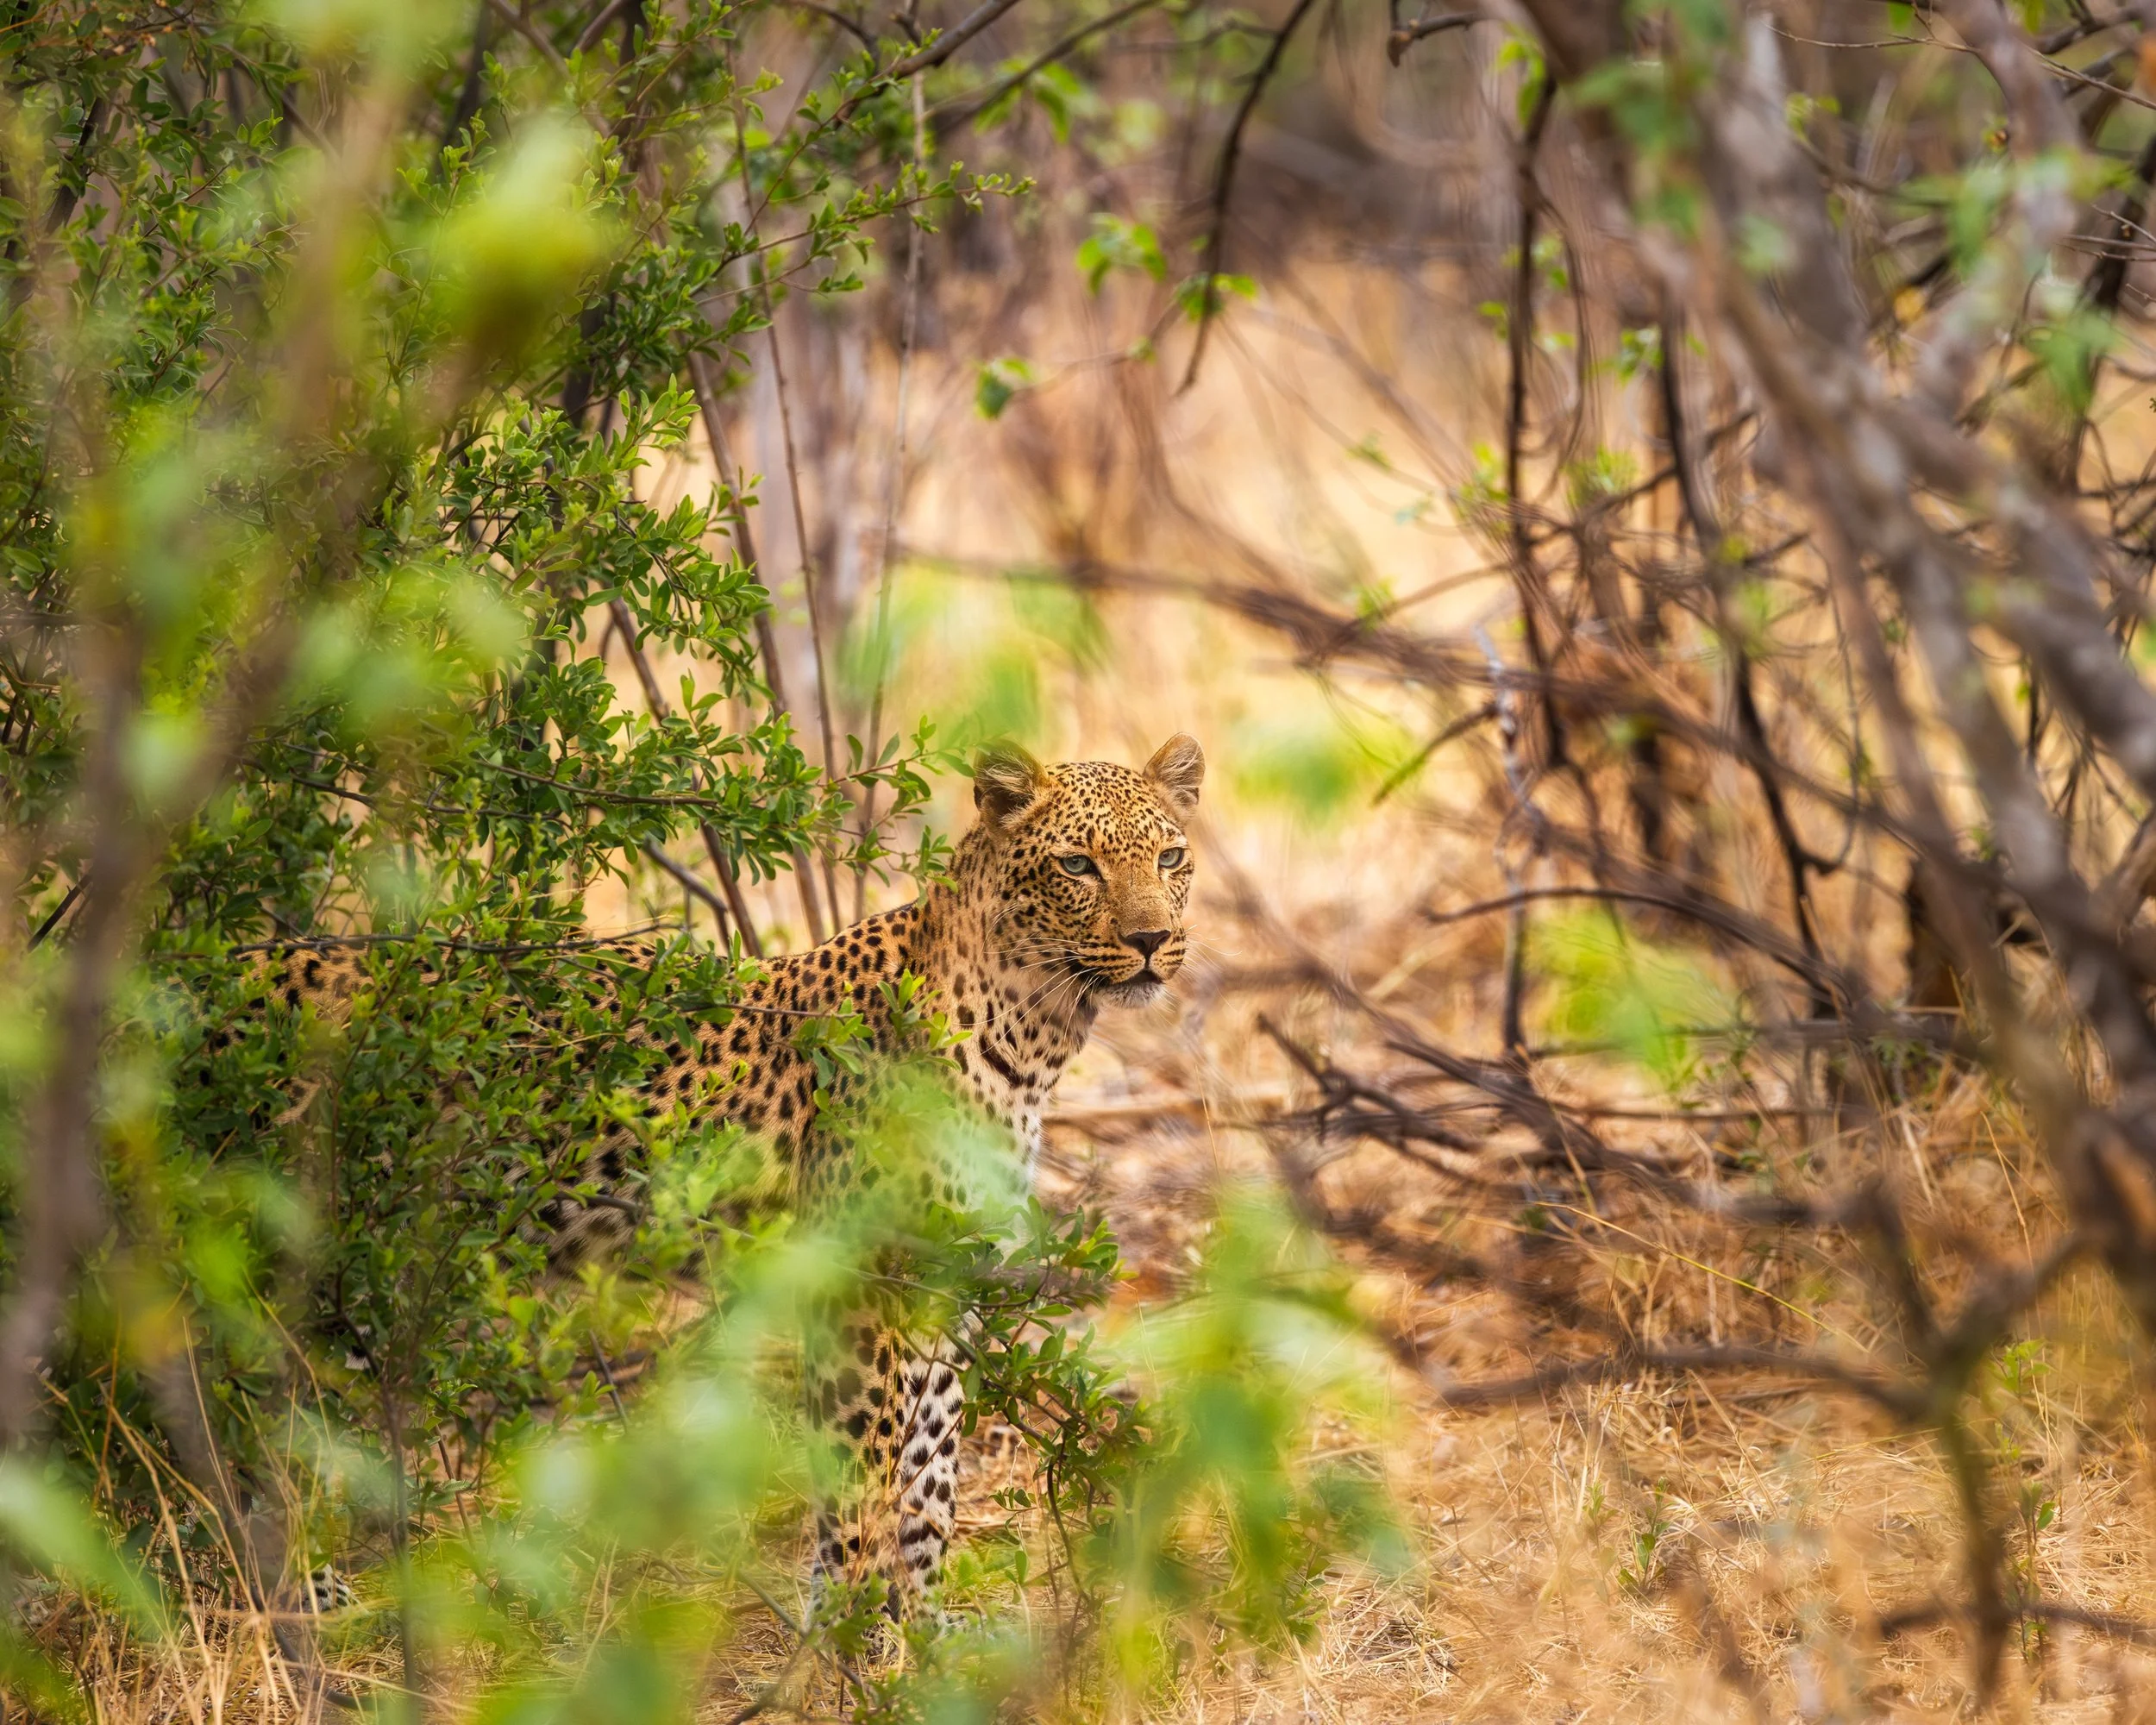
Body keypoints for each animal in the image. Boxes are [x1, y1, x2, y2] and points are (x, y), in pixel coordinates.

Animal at [245, 733, 1204, 1621]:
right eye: (1077, 864)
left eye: (1169, 857)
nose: (1151, 940)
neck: (1033, 1034)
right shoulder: (857, 1290)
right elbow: (863, 1484)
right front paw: (860, 1643)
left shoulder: (939, 1278)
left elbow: (929, 1484)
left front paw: (919, 1636)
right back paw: (297, 1593)